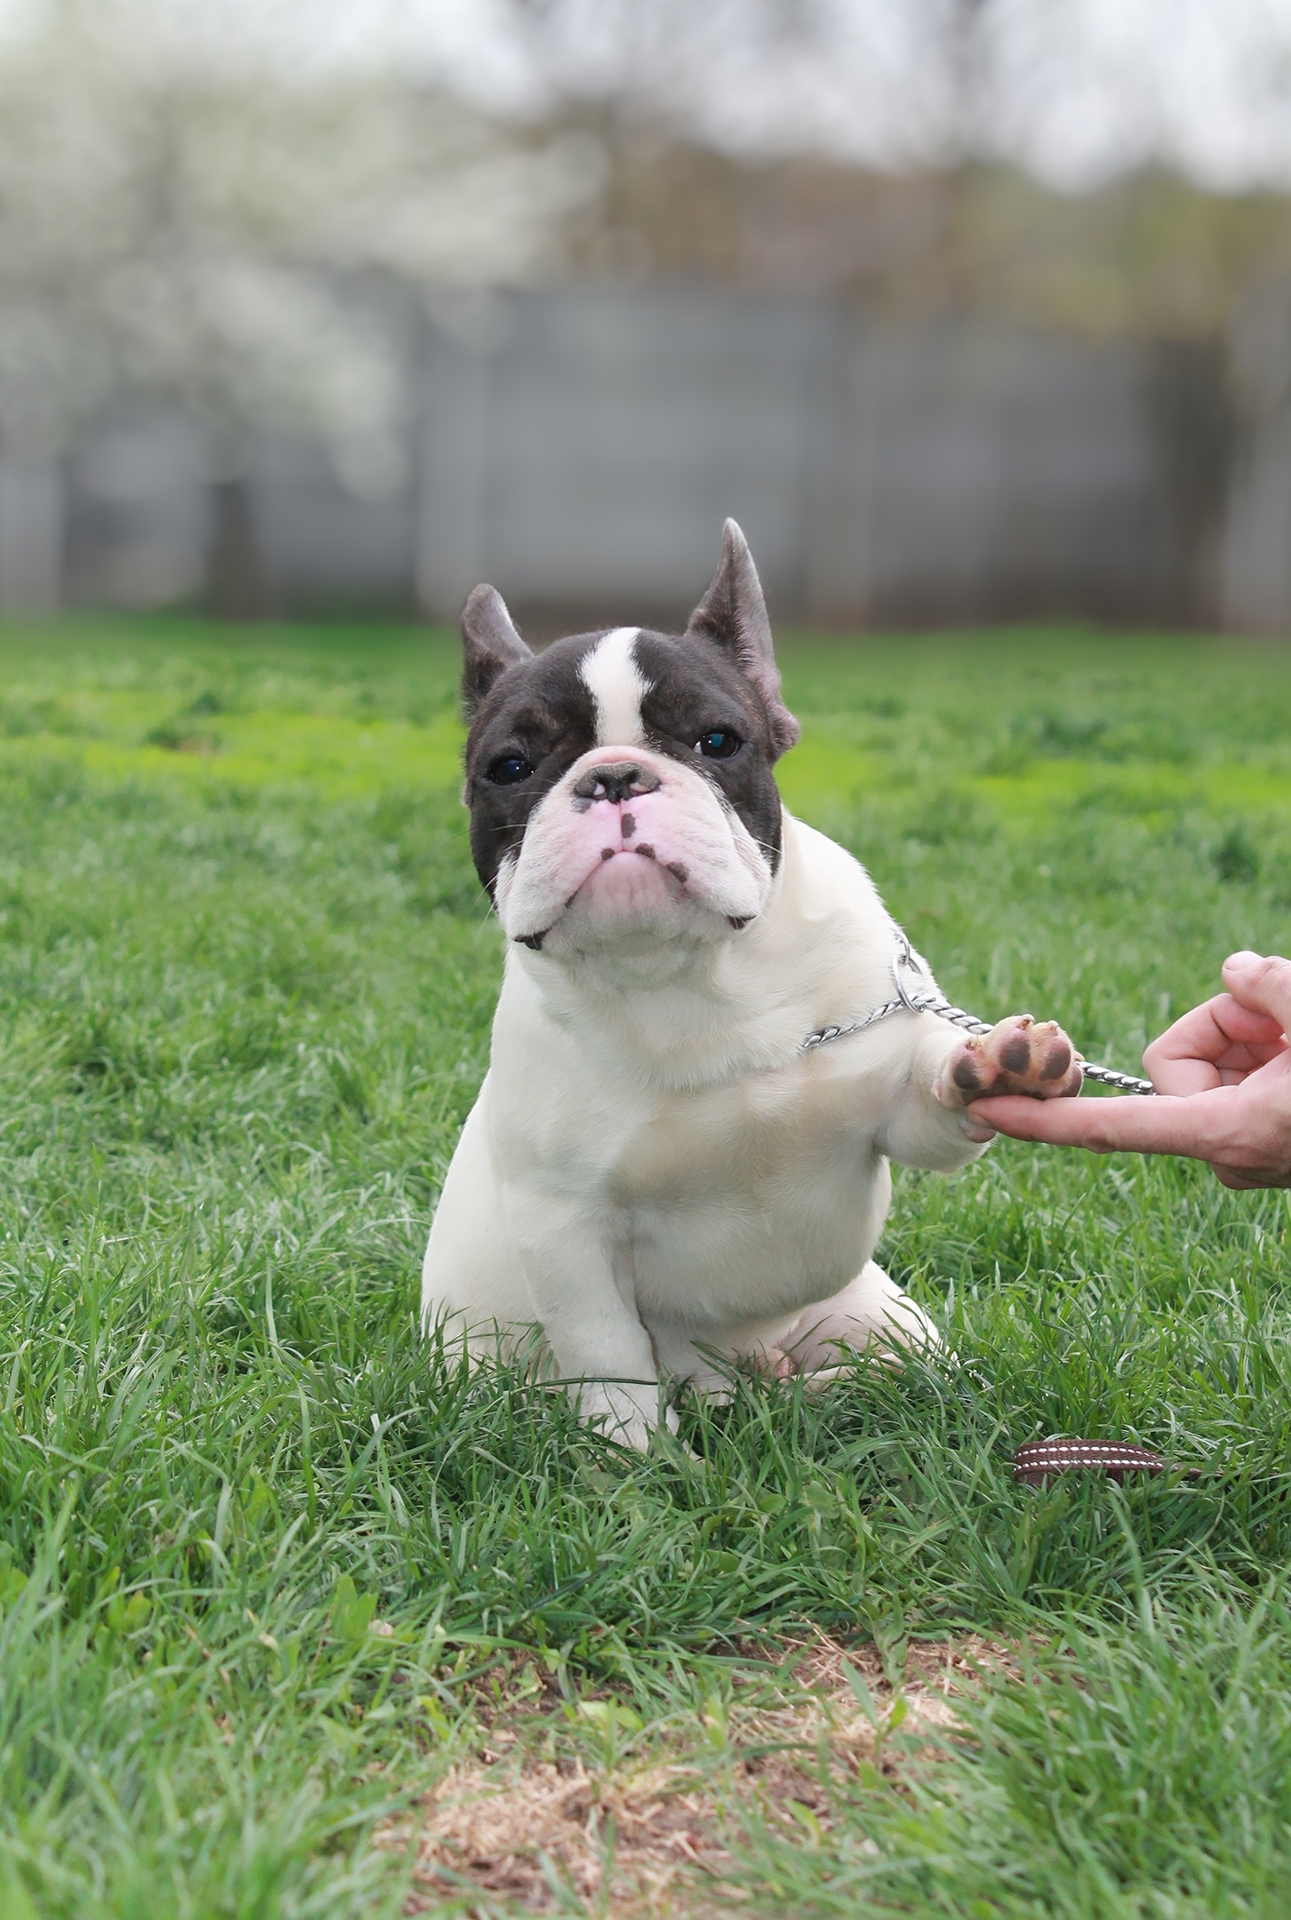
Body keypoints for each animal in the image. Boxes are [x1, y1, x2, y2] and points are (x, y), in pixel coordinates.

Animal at [422, 518, 1075, 1443]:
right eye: (509, 767)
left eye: (717, 742)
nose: (613, 776)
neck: (687, 982)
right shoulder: (565, 1232)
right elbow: (611, 1360)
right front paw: (637, 1457)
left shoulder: (892, 1107)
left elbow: (931, 1100)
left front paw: (994, 1066)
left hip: (877, 1315)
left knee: (905, 1365)